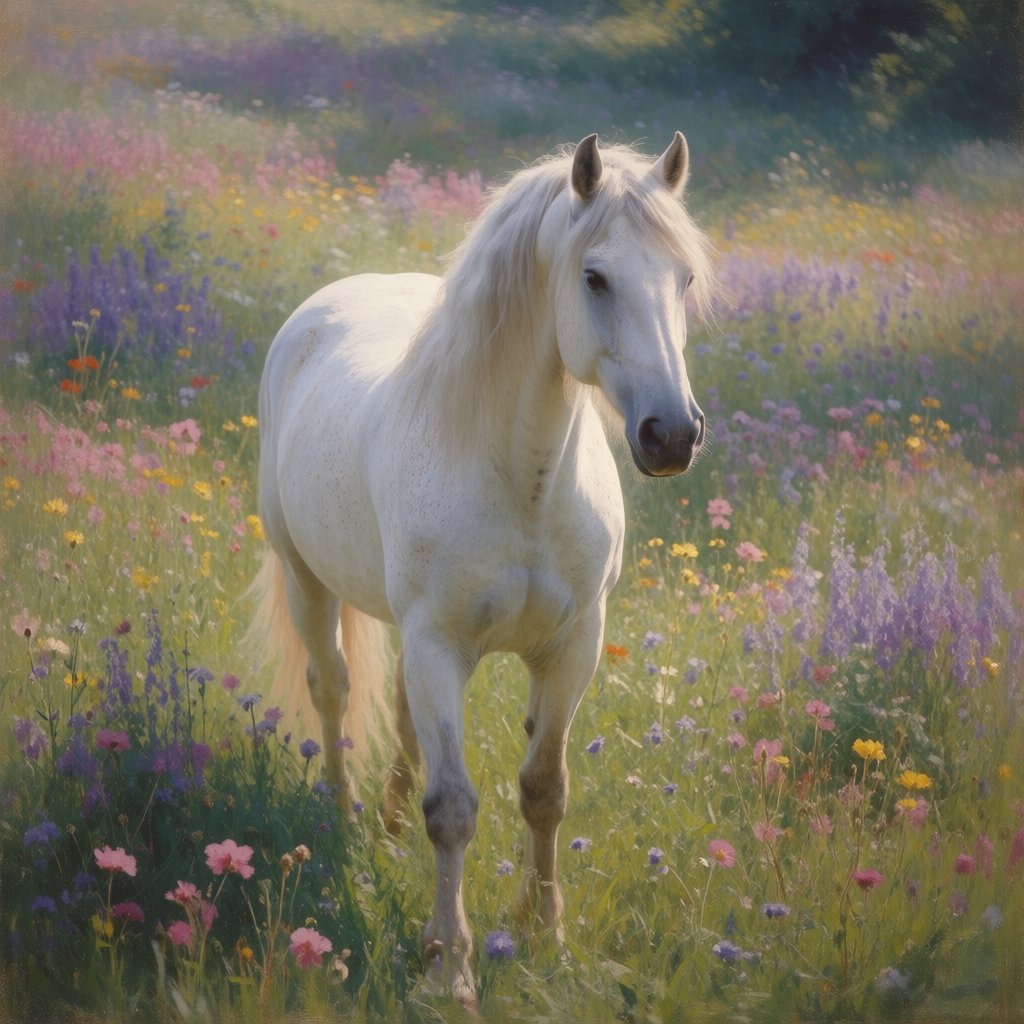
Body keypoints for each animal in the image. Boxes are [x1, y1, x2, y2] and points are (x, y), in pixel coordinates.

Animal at [250, 132, 713, 1008]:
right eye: (594, 277)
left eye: (685, 278)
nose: (672, 435)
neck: (521, 483)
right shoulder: (441, 646)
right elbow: (455, 810)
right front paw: (450, 969)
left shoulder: (573, 647)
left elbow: (544, 789)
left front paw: (544, 934)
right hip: (307, 583)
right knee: (335, 691)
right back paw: (343, 820)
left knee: (400, 716)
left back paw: (389, 821)